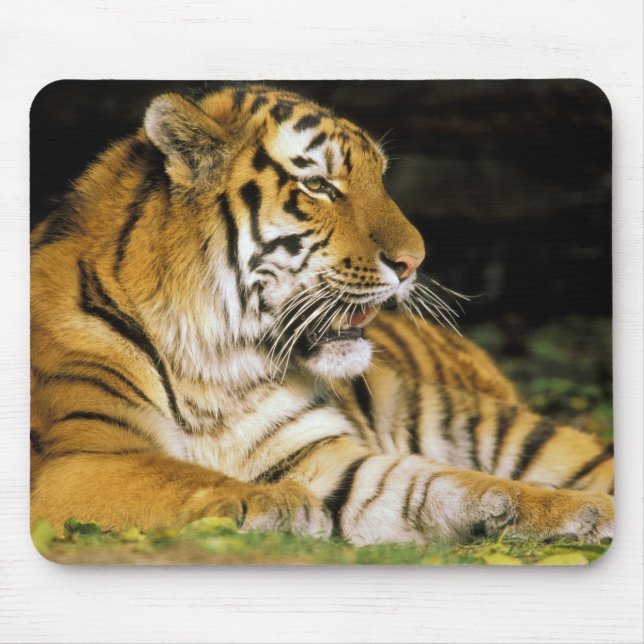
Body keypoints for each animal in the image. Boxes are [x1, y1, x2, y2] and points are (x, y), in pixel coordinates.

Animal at [30, 84, 614, 548]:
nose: (415, 261)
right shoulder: (83, 459)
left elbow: (451, 483)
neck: (219, 367)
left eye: (380, 179)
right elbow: (183, 478)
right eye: (318, 186)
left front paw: (582, 512)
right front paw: (278, 502)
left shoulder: (325, 459)